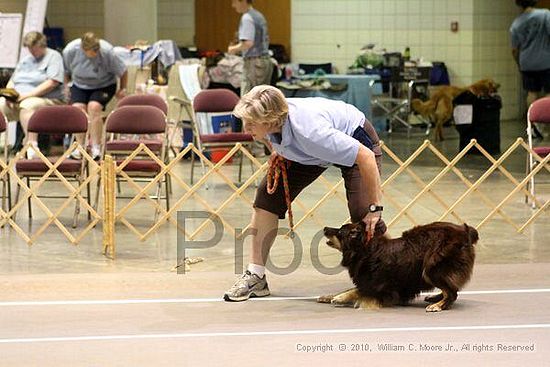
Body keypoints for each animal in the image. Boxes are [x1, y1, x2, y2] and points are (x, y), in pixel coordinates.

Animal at [320, 221, 478, 314]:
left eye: (340, 232)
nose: (325, 228)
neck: (365, 251)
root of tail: (465, 230)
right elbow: (352, 289)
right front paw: (328, 296)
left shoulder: (383, 289)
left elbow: (357, 291)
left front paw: (340, 298)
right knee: (451, 288)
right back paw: (435, 298)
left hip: (432, 268)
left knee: (452, 292)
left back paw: (438, 305)